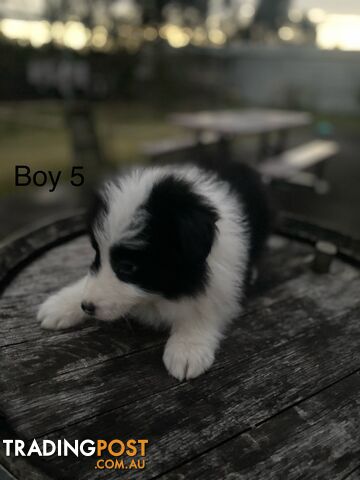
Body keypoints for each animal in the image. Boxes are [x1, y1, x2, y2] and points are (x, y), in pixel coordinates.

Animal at [37, 163, 270, 380]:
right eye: (96, 254)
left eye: (127, 266)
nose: (87, 306)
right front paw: (62, 304)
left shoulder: (222, 273)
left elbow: (204, 305)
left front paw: (187, 348)